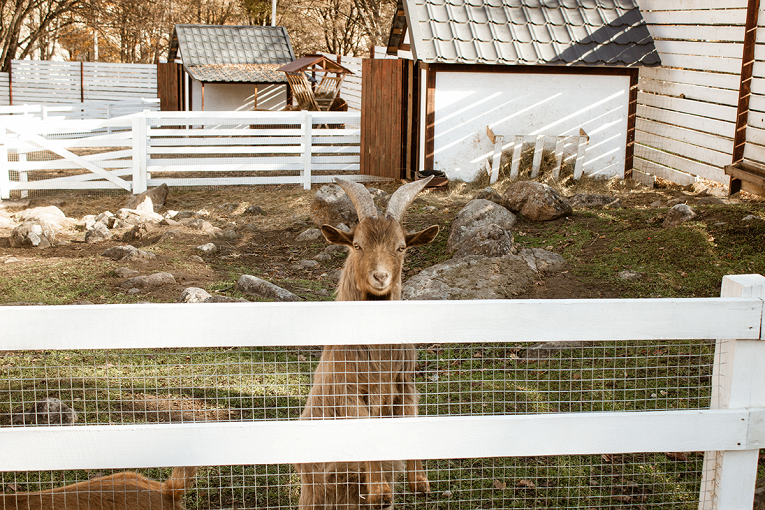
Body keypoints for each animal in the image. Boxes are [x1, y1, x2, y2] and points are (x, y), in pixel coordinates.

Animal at [296, 177, 438, 508]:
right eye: (358, 245)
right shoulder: (348, 391)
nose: (380, 277)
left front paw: (419, 482)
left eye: (401, 247)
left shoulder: (404, 384)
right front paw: (380, 491)